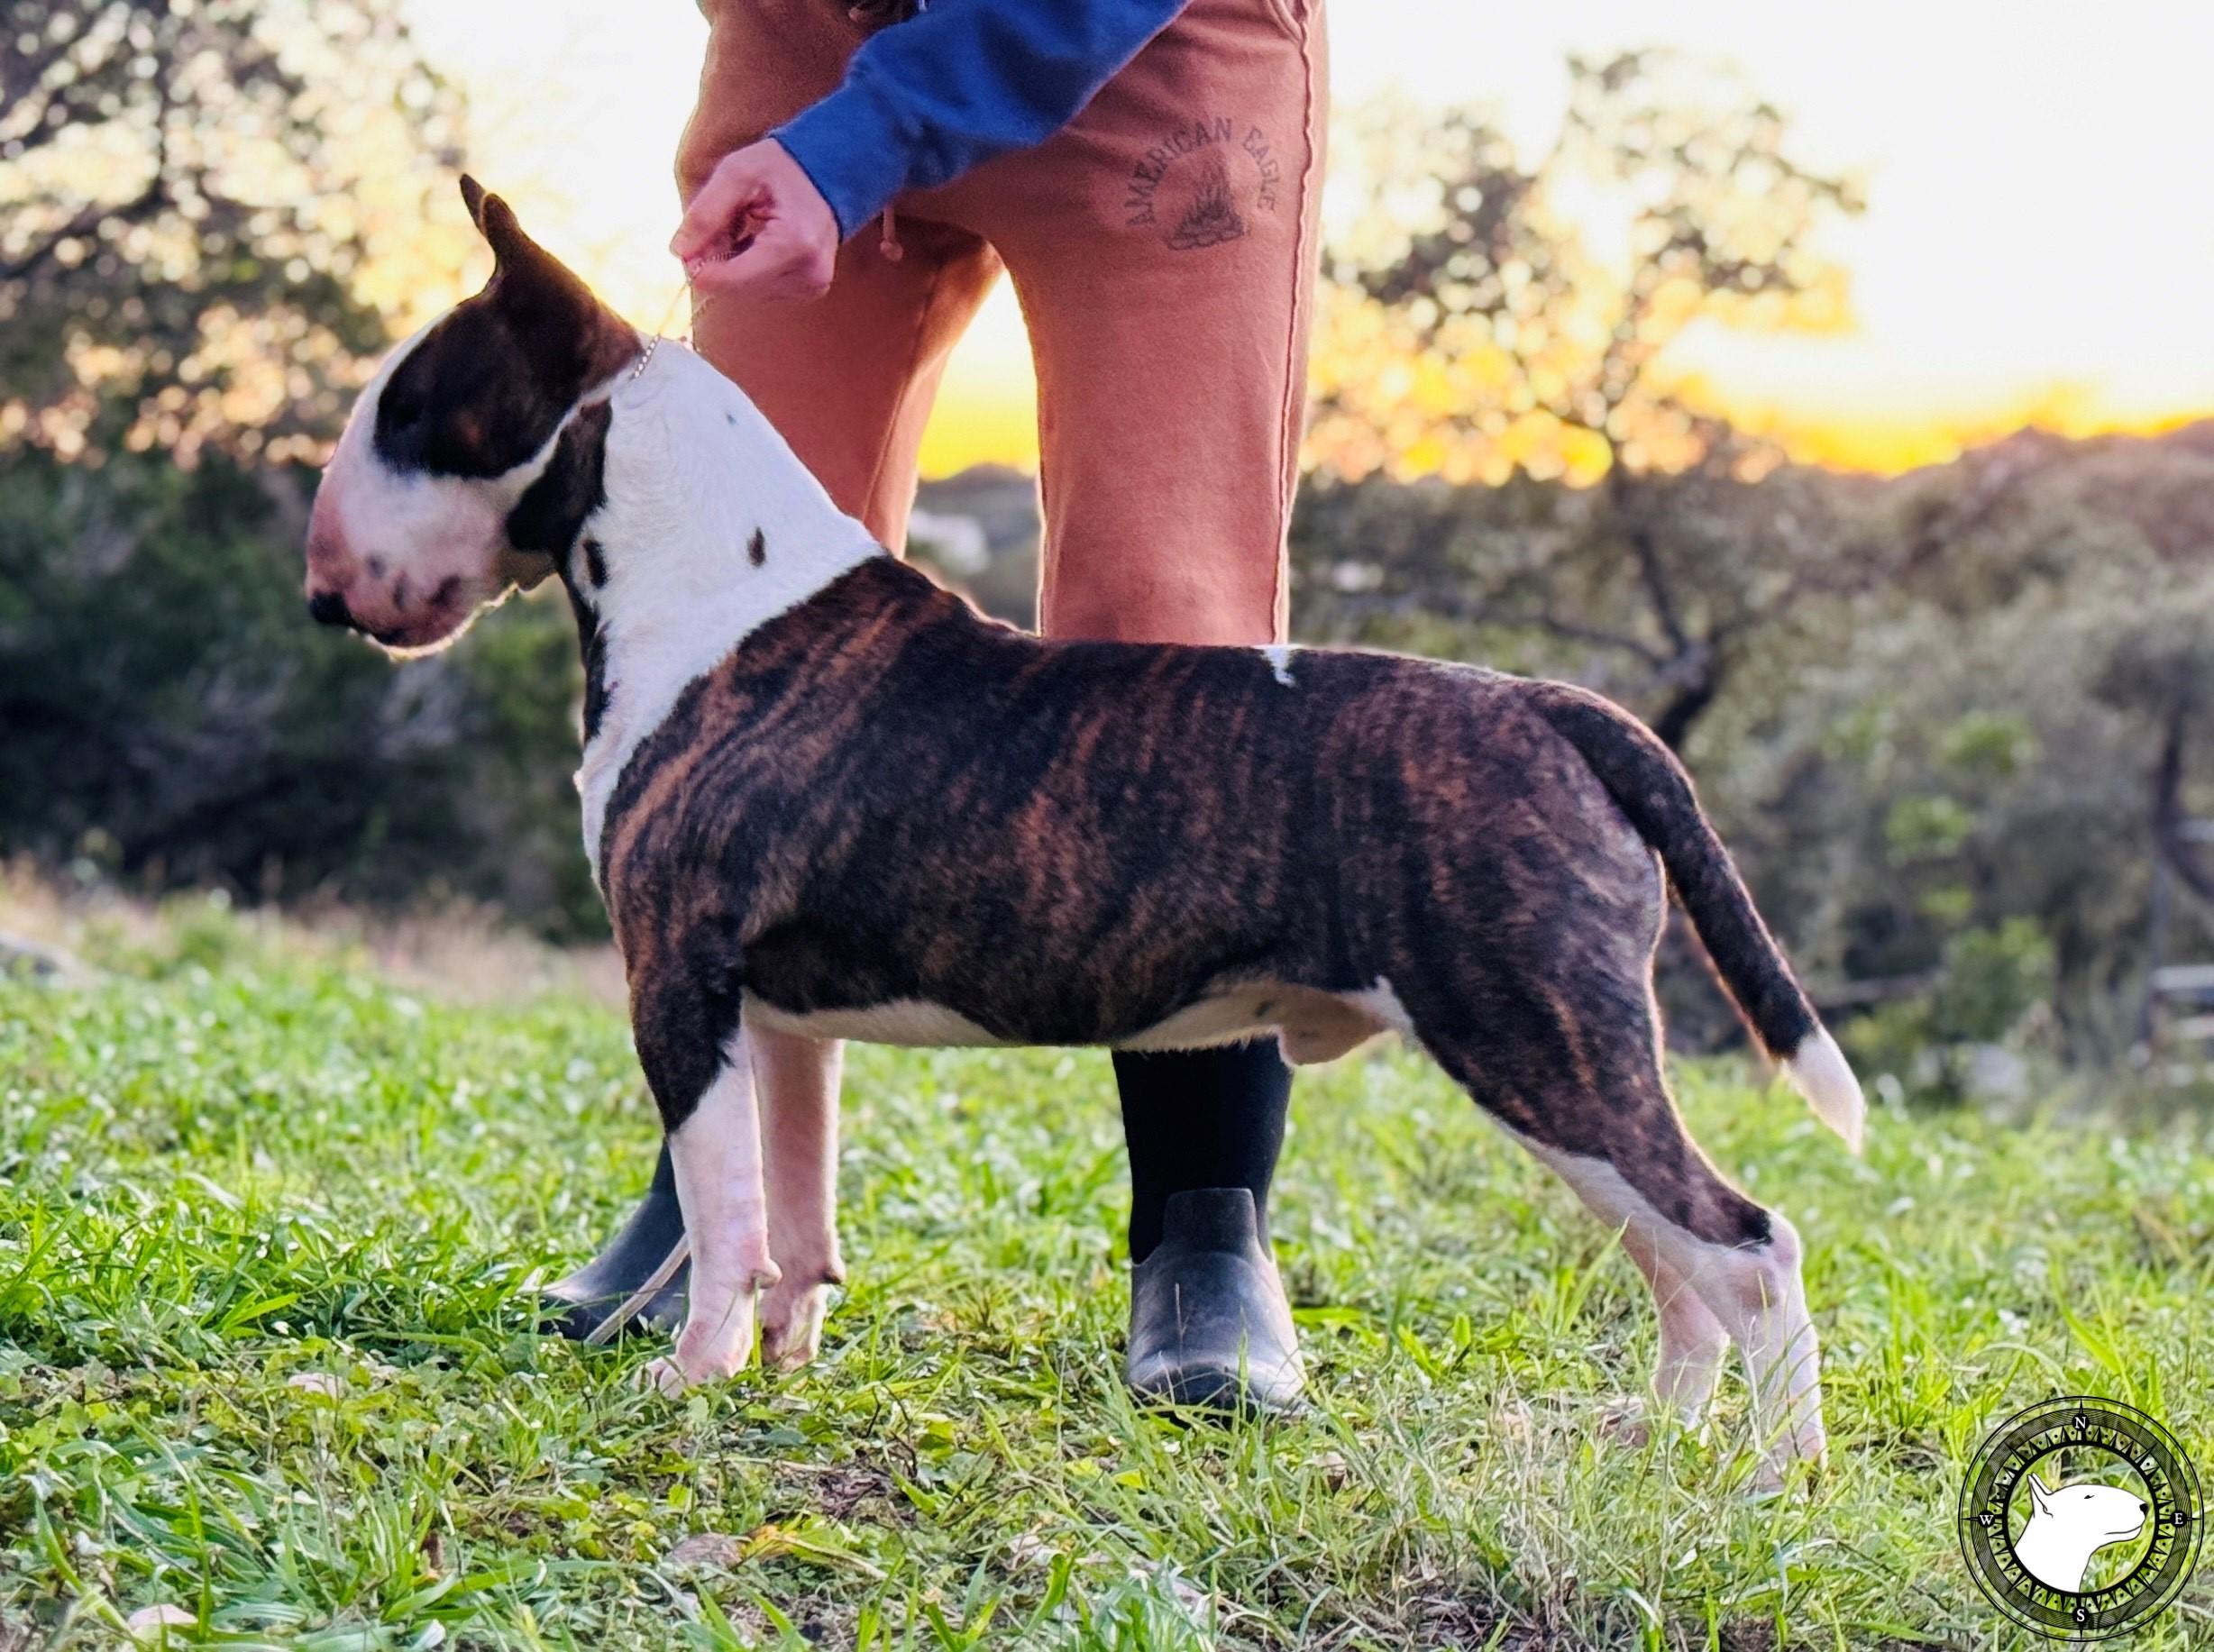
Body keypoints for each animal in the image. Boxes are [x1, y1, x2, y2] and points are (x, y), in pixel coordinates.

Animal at [307, 180, 1868, 1479]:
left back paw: (1777, 1482)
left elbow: (723, 1206)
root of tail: (1557, 710)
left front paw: (686, 1381)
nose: (321, 592)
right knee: (1678, 1262)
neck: (713, 581)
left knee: (1750, 1244)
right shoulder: (780, 1015)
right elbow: (794, 1207)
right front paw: (780, 1370)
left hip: (1538, 1036)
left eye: (410, 410)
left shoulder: (679, 979)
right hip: (1556, 1057)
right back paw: (1655, 1444)